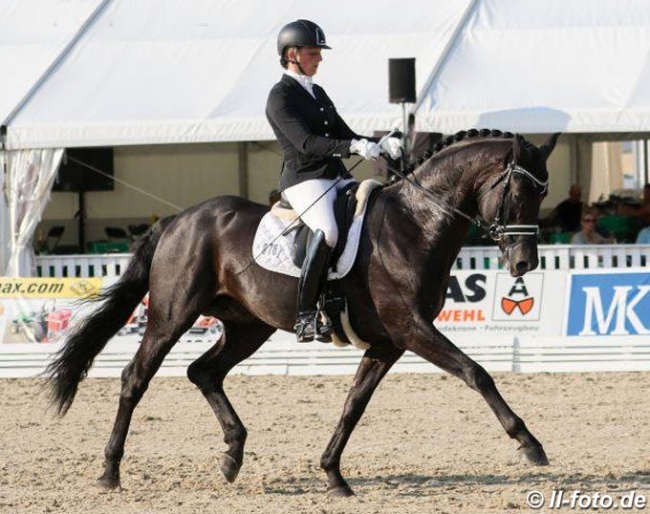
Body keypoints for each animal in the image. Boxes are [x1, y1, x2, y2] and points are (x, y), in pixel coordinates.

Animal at [45, 128, 560, 496]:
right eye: (518, 192)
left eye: (542, 193)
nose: (524, 264)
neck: (415, 224)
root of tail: (178, 220)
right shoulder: (411, 329)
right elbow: (477, 374)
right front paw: (530, 444)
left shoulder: (388, 343)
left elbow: (354, 405)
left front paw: (333, 475)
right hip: (173, 316)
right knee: (136, 377)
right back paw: (110, 471)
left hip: (247, 326)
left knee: (203, 372)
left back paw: (232, 456)